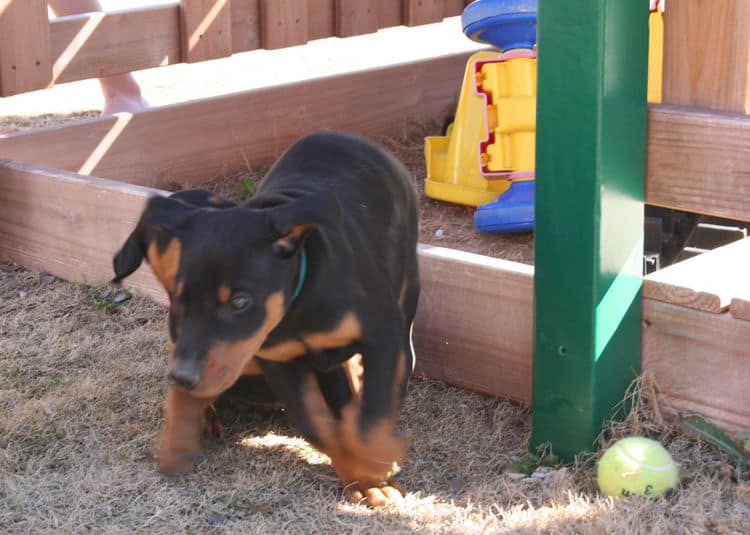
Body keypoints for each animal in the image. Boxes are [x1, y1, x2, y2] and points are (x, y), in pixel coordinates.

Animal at [111, 130, 420, 506]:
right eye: (179, 297)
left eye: (240, 301)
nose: (182, 375)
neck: (297, 306)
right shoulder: (278, 362)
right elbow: (317, 424)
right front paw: (363, 476)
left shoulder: (382, 335)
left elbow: (370, 416)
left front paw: (372, 465)